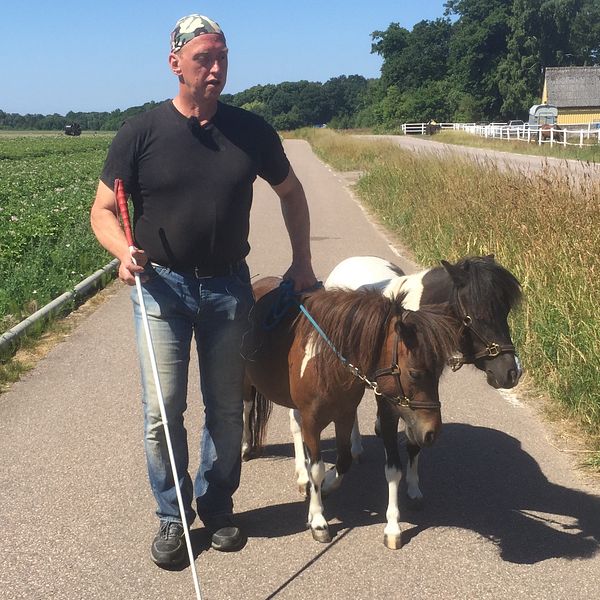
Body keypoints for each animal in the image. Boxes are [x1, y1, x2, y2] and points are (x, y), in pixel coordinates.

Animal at [241, 276, 458, 548]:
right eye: (415, 373)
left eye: (439, 373)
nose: (432, 432)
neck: (326, 359)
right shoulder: (313, 421)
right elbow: (317, 468)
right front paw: (318, 520)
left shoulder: (343, 415)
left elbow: (343, 460)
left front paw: (326, 486)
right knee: (247, 407)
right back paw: (247, 447)